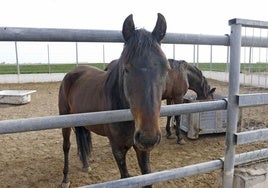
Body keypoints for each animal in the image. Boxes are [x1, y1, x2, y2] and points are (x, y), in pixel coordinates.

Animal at [58, 13, 170, 188]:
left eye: (166, 68)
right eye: (126, 69)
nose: (148, 137)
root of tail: (72, 73)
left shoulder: (142, 150)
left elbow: (147, 177)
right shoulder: (118, 149)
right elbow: (125, 176)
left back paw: (86, 165)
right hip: (65, 118)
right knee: (66, 146)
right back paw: (65, 178)